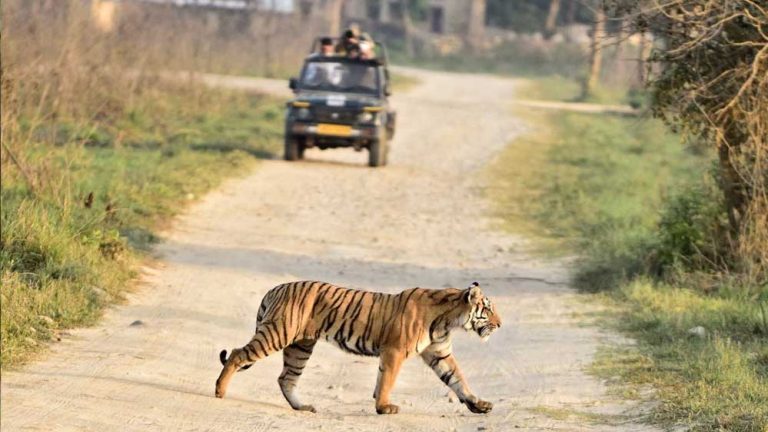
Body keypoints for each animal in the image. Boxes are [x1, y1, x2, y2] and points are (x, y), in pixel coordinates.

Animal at [214, 280, 504, 416]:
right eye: (488, 309)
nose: (500, 324)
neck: (449, 319)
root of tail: (275, 288)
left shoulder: (439, 353)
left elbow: (458, 380)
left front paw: (479, 405)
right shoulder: (394, 351)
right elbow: (387, 380)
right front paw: (384, 407)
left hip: (300, 346)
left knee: (286, 378)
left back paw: (303, 407)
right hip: (278, 333)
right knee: (238, 354)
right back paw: (220, 391)